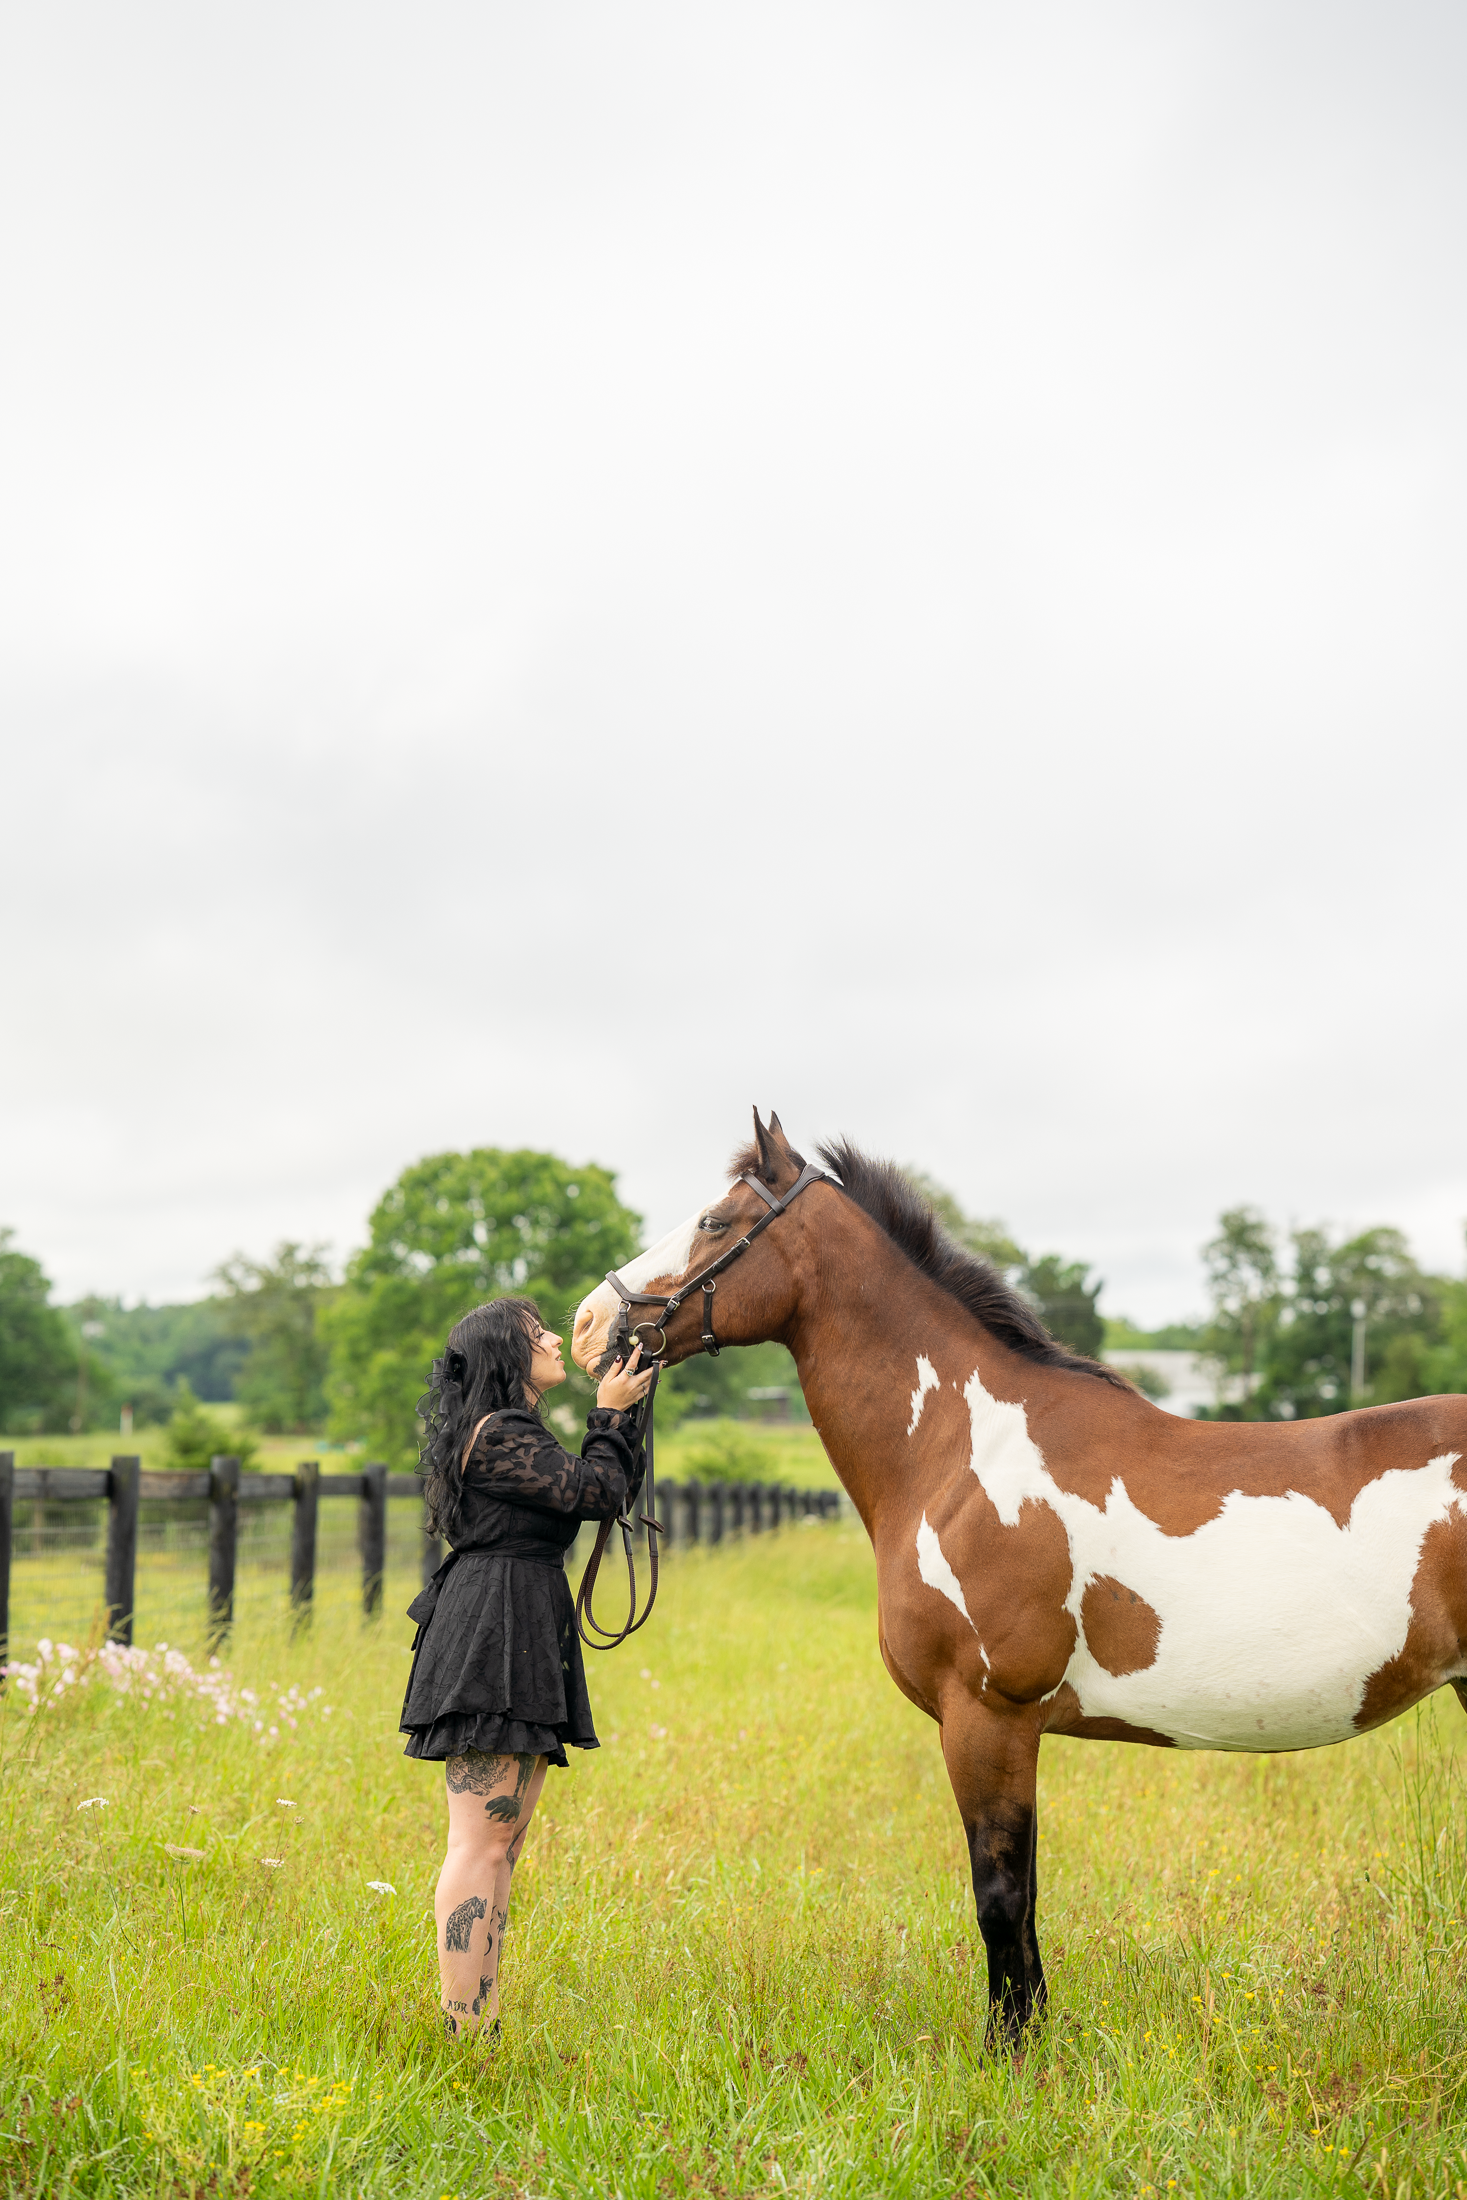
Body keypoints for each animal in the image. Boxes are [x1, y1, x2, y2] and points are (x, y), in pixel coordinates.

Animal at [571, 1111, 1467, 2045]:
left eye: (714, 1221)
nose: (590, 1321)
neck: (962, 1453)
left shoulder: (986, 1717)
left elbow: (998, 1899)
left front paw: (1009, 2055)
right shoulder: (1012, 1729)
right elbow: (1027, 1897)